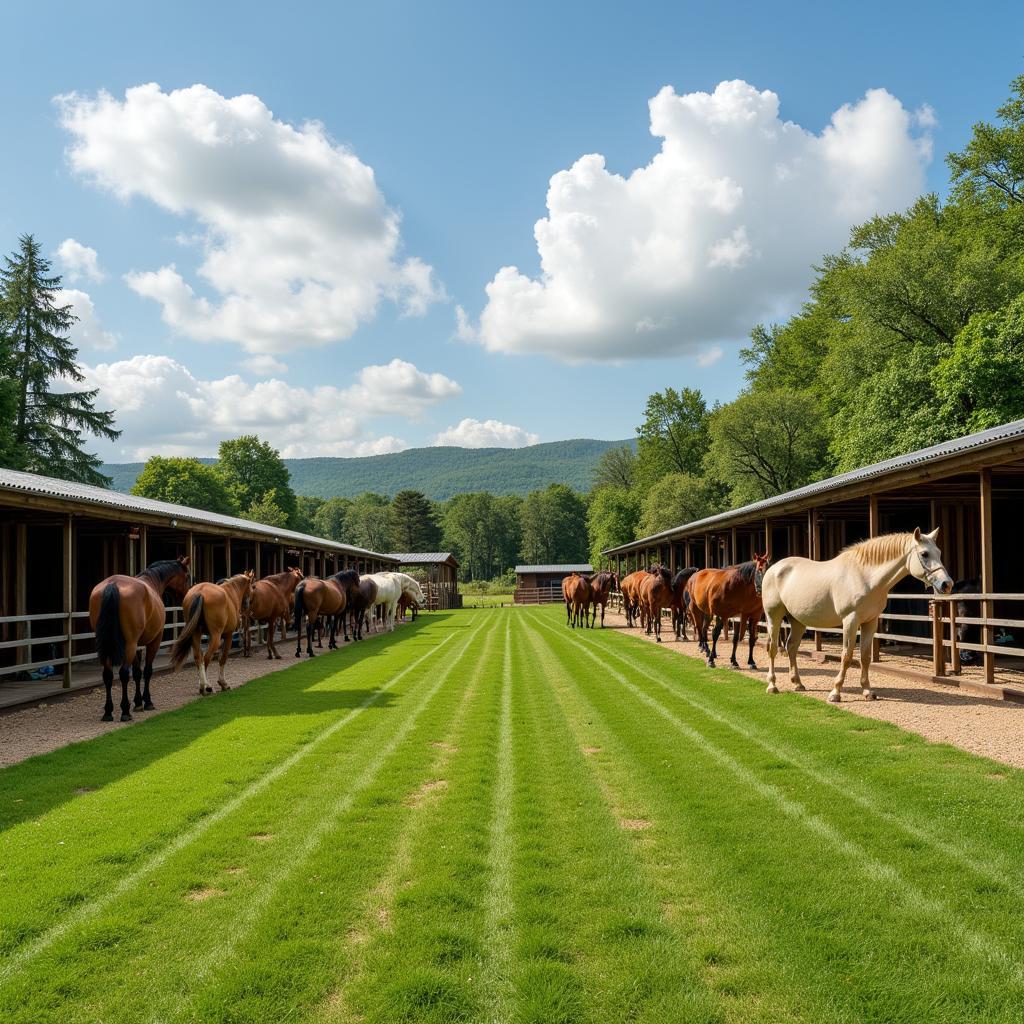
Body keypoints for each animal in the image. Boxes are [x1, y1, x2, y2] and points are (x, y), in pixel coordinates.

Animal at [89, 557, 192, 724]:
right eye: (187, 576)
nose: (187, 595)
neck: (152, 582)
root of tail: (113, 584)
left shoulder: (137, 646)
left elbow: (137, 672)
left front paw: (137, 703)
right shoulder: (153, 641)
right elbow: (147, 671)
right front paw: (147, 702)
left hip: (107, 646)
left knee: (108, 675)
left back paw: (108, 712)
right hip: (129, 645)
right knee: (124, 673)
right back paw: (125, 711)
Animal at [761, 528, 950, 704]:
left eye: (939, 553)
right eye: (924, 554)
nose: (947, 584)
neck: (865, 577)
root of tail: (773, 569)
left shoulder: (870, 622)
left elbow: (865, 657)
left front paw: (868, 691)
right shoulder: (850, 621)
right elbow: (846, 656)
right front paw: (835, 693)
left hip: (797, 621)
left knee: (792, 647)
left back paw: (798, 683)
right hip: (773, 617)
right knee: (772, 649)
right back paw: (772, 685)